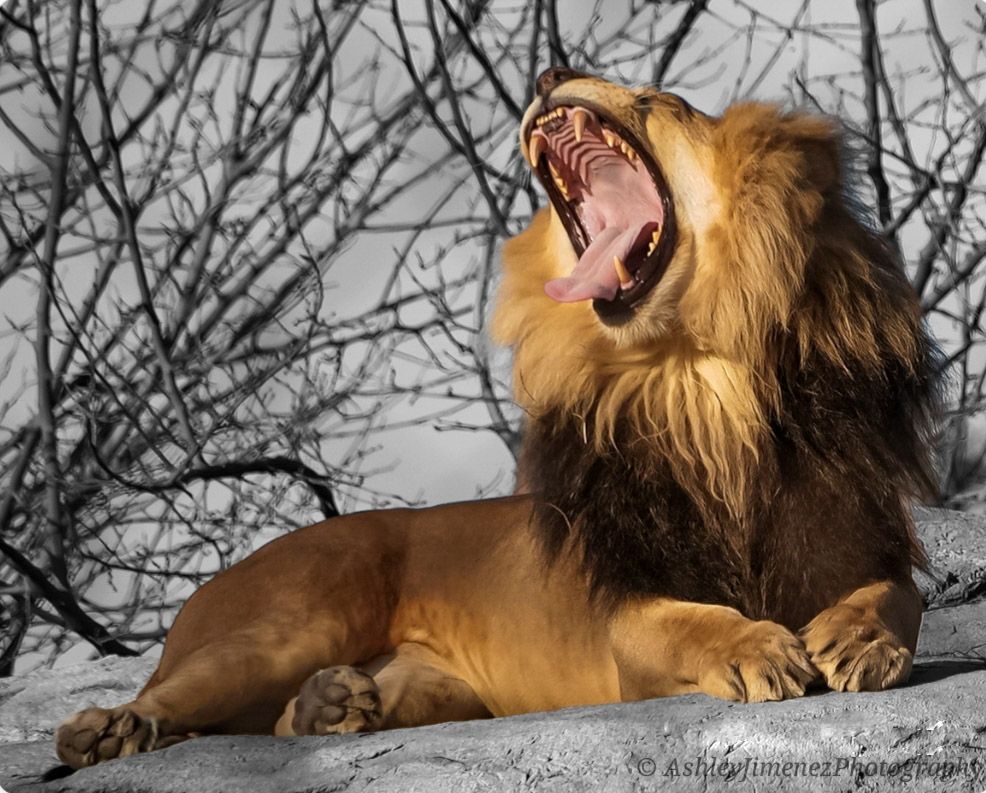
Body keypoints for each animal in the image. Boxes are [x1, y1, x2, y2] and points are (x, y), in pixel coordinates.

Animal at [55, 68, 938, 769]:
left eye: (660, 101)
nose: (549, 73)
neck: (695, 378)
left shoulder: (861, 536)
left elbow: (898, 597)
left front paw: (858, 638)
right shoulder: (624, 615)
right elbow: (689, 623)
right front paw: (755, 646)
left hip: (437, 690)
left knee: (283, 721)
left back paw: (329, 706)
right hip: (287, 622)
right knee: (162, 700)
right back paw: (107, 729)